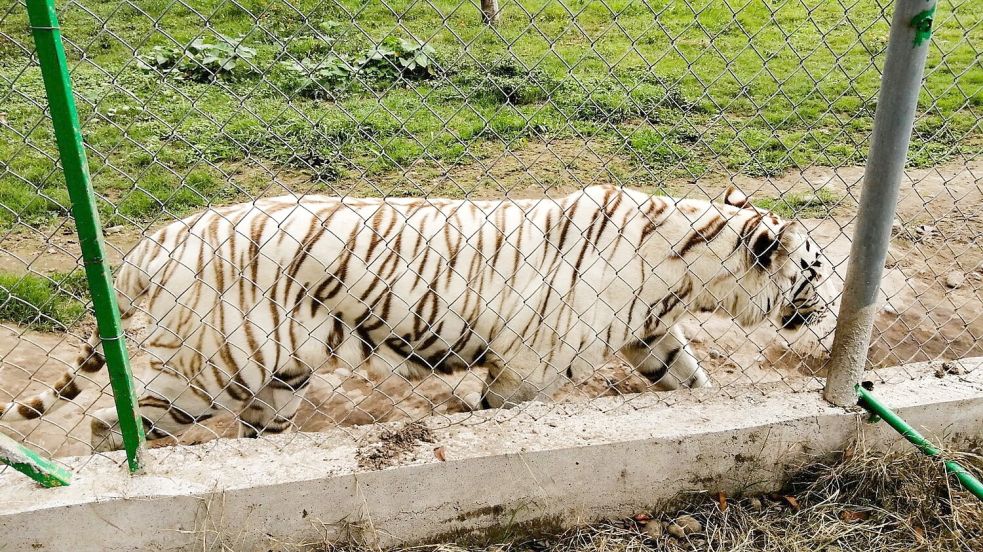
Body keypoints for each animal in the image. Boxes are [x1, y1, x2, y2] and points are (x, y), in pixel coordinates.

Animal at [0, 185, 834, 451]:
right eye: (818, 269)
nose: (831, 306)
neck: (687, 268)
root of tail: (158, 238)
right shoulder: (526, 370)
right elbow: (498, 416)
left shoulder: (650, 333)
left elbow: (689, 383)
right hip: (211, 367)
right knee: (111, 425)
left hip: (279, 377)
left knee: (254, 432)